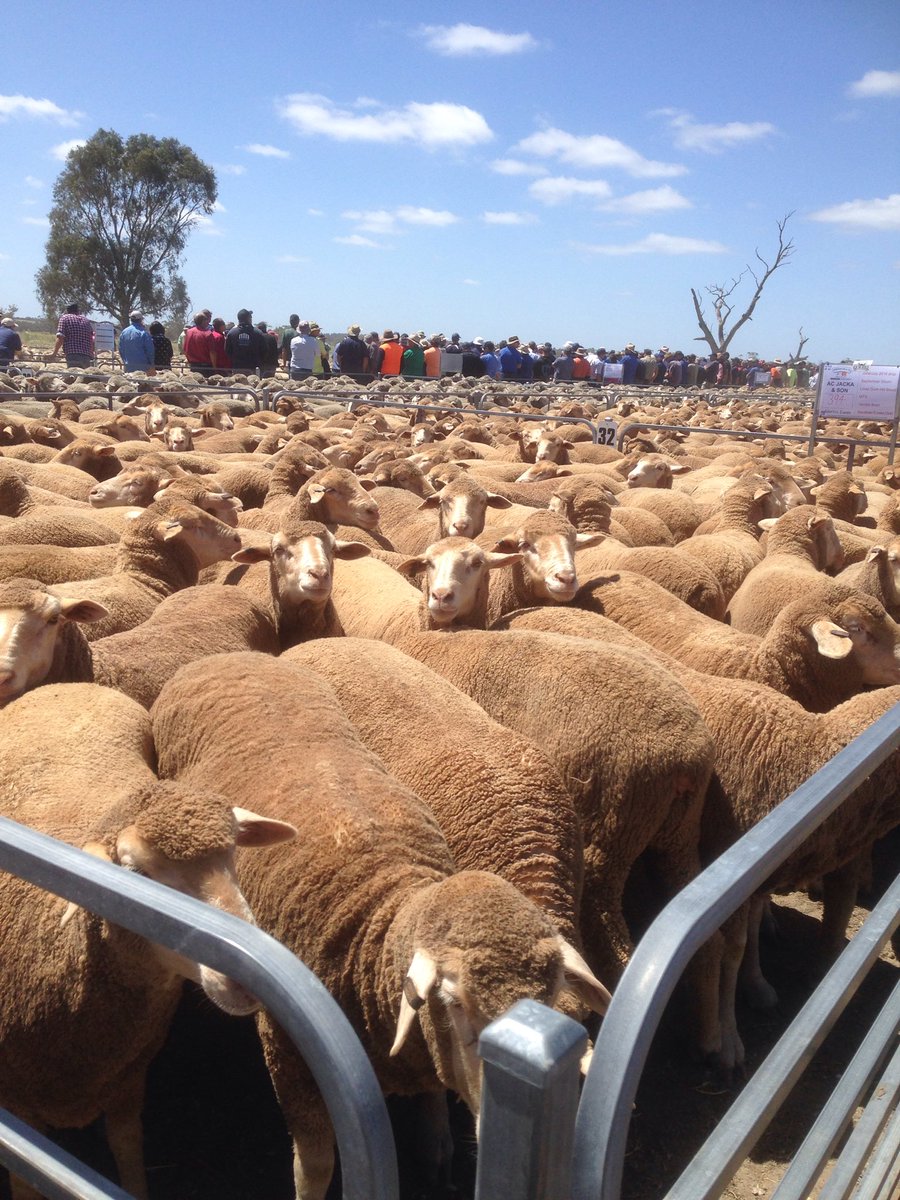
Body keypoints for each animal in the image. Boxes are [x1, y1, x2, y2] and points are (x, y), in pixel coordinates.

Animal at [0, 681, 295, 1199]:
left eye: (233, 856)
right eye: (135, 873)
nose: (246, 980)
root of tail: (69, 685)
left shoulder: (127, 1081)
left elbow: (129, 1155)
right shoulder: (18, 1107)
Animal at [151, 651, 607, 1200]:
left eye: (557, 998)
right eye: (455, 1003)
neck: (377, 925)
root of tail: (228, 655)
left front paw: (436, 1146)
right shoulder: (288, 1051)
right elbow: (316, 1165)